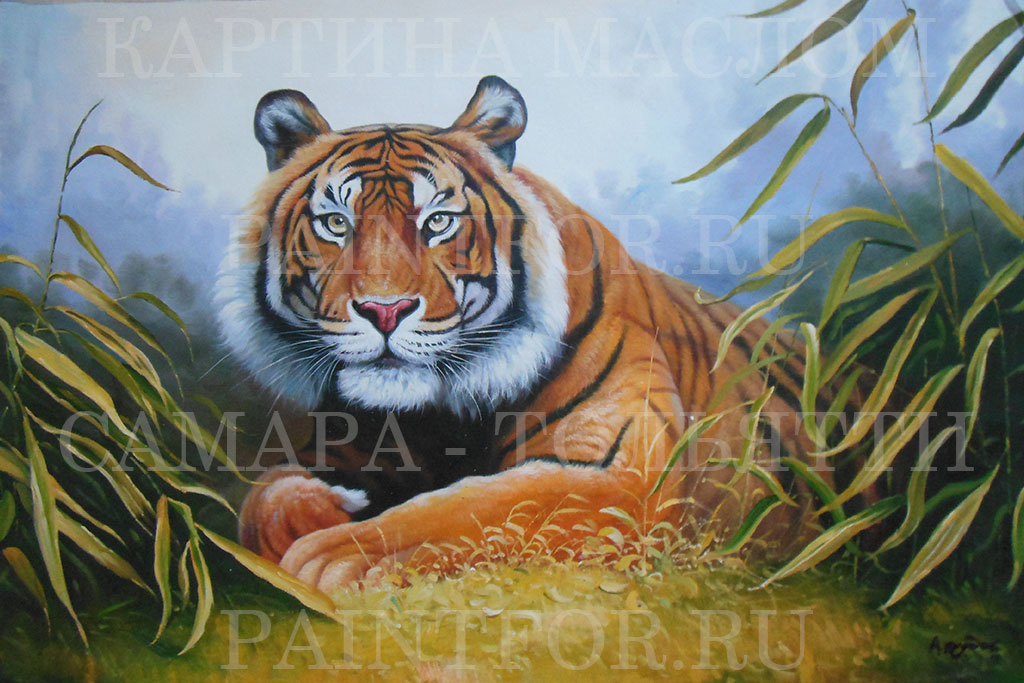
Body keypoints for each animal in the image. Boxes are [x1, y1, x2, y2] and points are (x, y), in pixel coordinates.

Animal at [218, 75, 856, 595]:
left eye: (438, 222)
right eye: (335, 223)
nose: (384, 309)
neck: (440, 416)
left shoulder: (624, 473)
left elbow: (484, 503)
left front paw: (335, 553)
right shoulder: (340, 444)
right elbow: (263, 494)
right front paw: (322, 509)